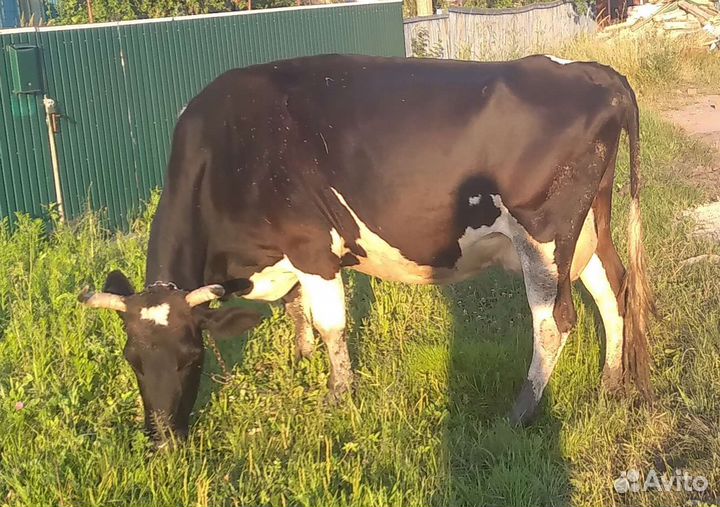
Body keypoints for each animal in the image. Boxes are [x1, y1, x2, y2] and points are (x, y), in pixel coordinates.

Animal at [78, 53, 653, 444]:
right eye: (132, 360)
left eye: (191, 358)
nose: (162, 441)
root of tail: (596, 74)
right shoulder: (286, 255)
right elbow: (299, 312)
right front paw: (302, 361)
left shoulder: (312, 246)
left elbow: (332, 326)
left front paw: (338, 398)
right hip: (587, 232)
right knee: (614, 290)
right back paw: (610, 383)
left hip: (544, 234)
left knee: (555, 321)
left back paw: (520, 412)